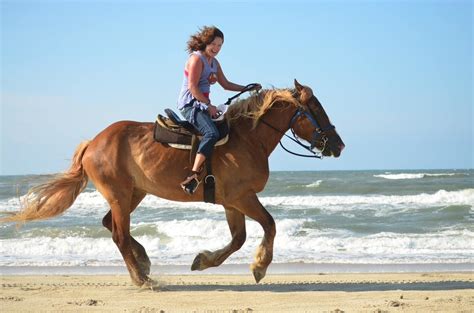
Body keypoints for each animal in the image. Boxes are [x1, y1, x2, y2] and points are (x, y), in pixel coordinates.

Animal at [1, 80, 342, 286]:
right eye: (316, 108)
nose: (338, 145)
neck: (247, 139)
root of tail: (93, 142)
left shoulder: (232, 201)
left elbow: (238, 239)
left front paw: (203, 261)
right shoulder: (243, 197)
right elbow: (269, 225)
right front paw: (259, 266)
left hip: (134, 193)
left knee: (110, 224)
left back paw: (144, 262)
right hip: (120, 194)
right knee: (118, 234)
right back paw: (142, 279)